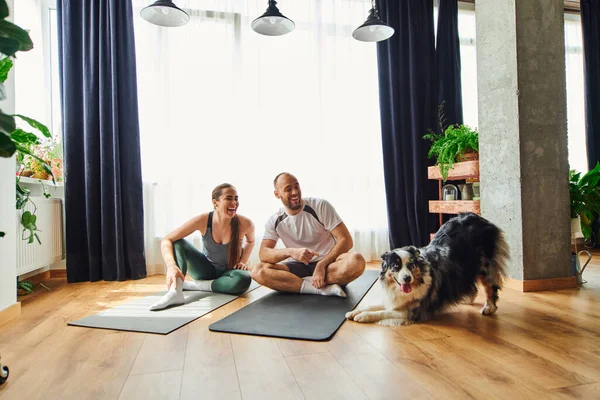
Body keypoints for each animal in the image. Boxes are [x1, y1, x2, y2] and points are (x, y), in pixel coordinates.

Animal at [344, 212, 508, 324]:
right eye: (396, 266)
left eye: (411, 265)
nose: (407, 278)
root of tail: (478, 218)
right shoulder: (393, 301)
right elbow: (372, 305)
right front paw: (354, 312)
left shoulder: (412, 311)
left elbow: (382, 313)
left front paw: (363, 316)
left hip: (485, 266)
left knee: (490, 287)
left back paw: (489, 308)